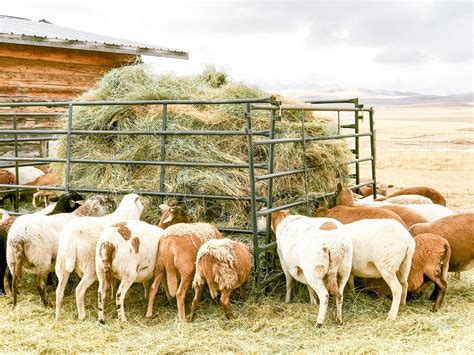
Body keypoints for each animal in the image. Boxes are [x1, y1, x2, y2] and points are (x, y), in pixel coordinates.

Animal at [54, 193, 143, 322]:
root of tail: (70, 240)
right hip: (91, 267)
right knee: (79, 290)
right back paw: (82, 315)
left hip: (62, 264)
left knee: (59, 292)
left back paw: (57, 317)